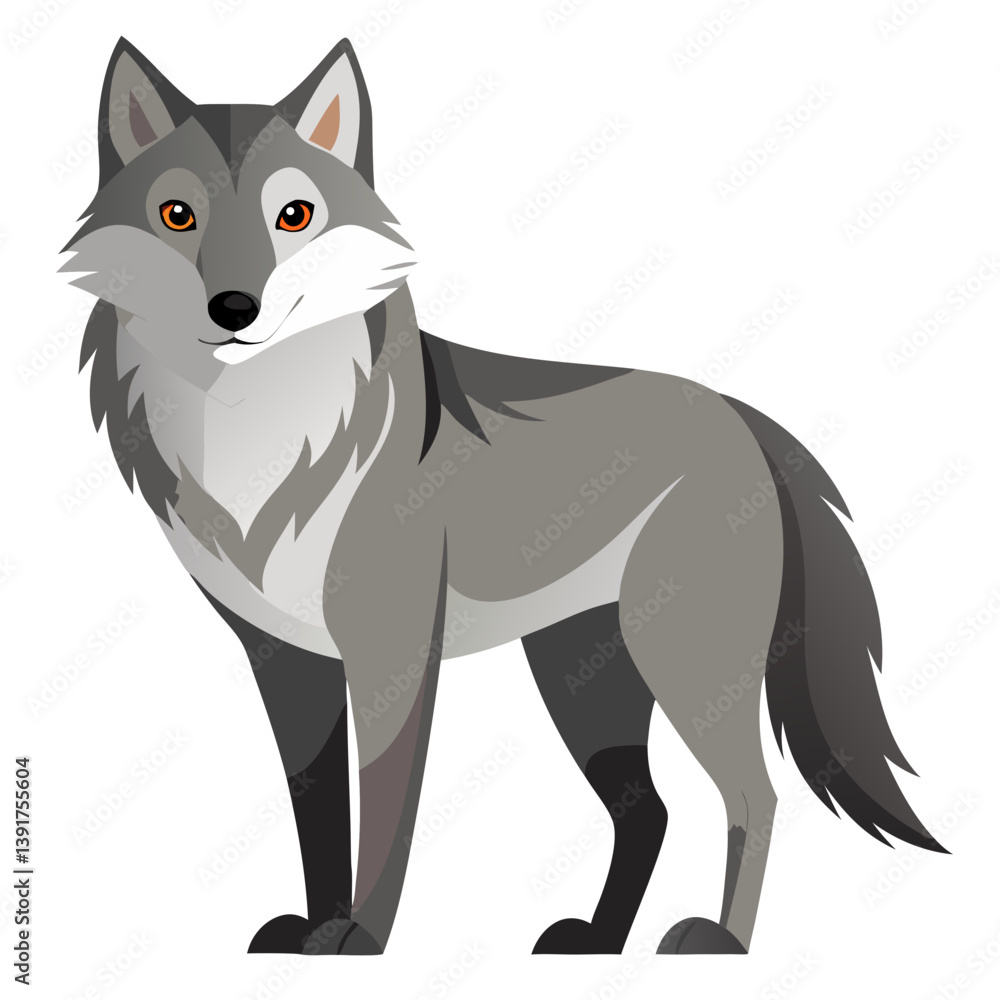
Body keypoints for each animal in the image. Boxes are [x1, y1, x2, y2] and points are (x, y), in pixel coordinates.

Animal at [62, 36, 945, 956]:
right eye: (177, 216)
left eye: (294, 216)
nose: (235, 307)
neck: (257, 440)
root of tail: (741, 415)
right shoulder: (288, 664)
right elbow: (317, 812)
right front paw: (312, 929)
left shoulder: (391, 657)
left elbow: (385, 813)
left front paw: (358, 937)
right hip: (583, 677)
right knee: (650, 812)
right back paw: (598, 940)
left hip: (683, 666)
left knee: (754, 796)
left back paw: (719, 942)